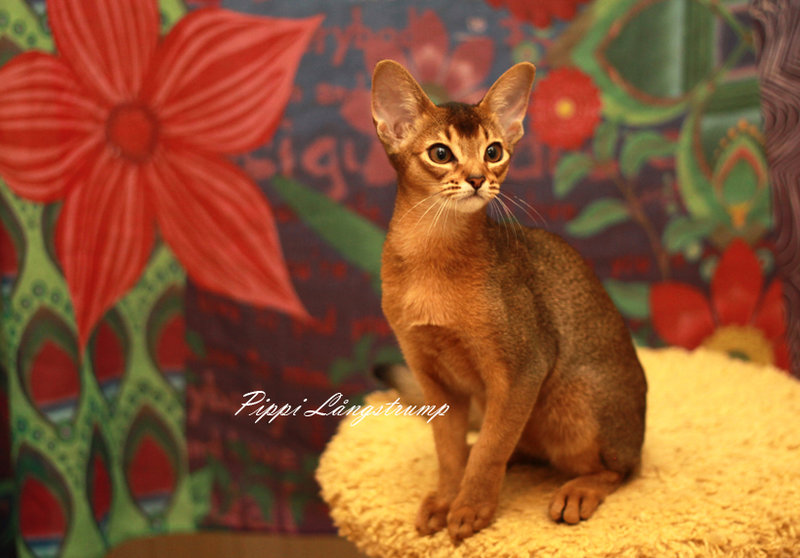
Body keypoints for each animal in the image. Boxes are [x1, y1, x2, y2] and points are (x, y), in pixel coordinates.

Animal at [371, 59, 647, 543]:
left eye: (494, 150)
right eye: (440, 153)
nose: (478, 179)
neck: (431, 258)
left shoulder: (523, 368)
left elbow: (491, 449)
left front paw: (470, 509)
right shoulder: (433, 376)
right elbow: (448, 450)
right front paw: (447, 497)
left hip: (575, 401)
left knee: (619, 469)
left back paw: (579, 491)